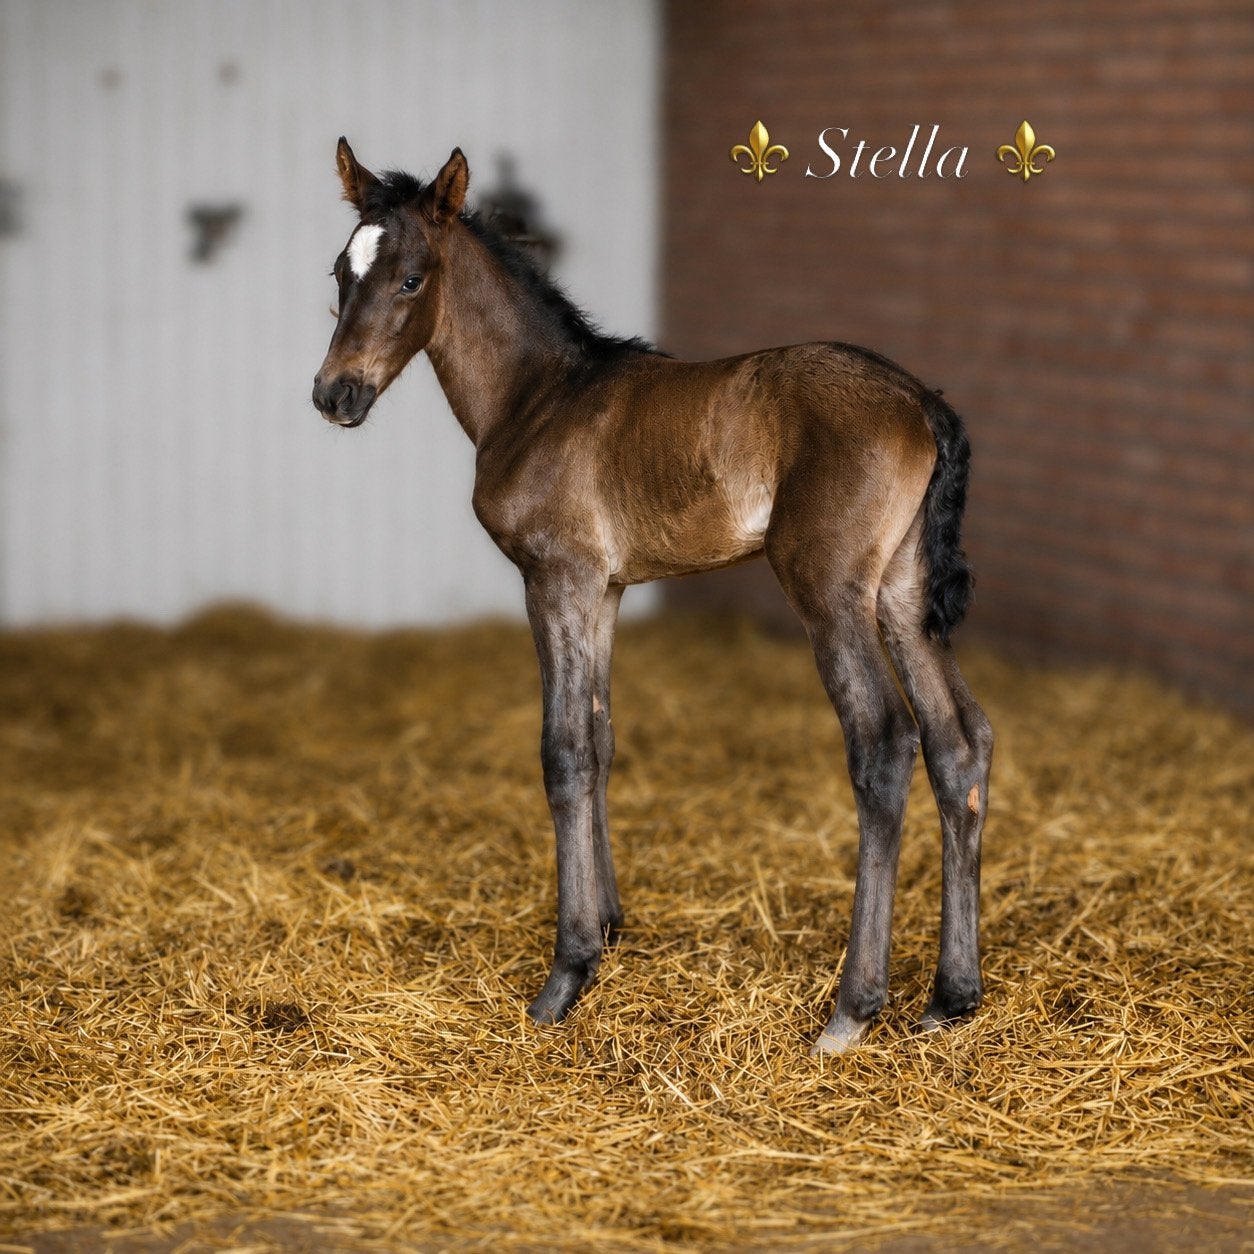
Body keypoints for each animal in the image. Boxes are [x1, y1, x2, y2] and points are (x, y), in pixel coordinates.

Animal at [312, 141, 993, 1053]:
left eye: (412, 279)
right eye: (339, 273)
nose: (334, 395)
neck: (537, 397)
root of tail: (923, 403)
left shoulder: (556, 578)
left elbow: (562, 752)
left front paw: (565, 976)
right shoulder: (603, 589)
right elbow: (600, 741)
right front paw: (606, 929)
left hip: (830, 589)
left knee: (884, 743)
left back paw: (851, 1010)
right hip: (903, 593)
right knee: (960, 744)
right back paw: (951, 997)